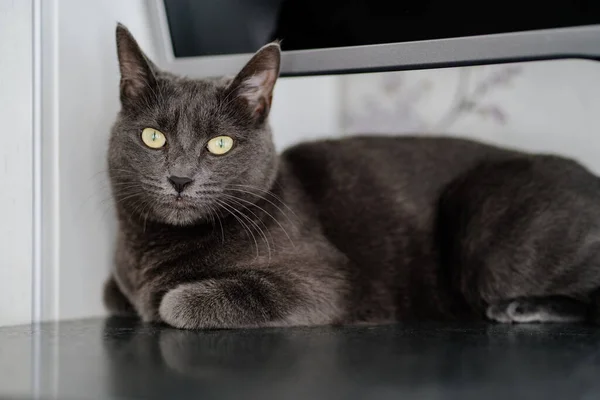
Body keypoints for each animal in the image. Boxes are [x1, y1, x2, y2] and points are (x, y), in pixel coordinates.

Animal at [105, 23, 600, 328]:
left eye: (219, 144)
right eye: (153, 137)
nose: (180, 179)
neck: (148, 256)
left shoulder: (325, 283)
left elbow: (177, 301)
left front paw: (164, 302)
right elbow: (113, 295)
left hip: (486, 221)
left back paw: (522, 307)